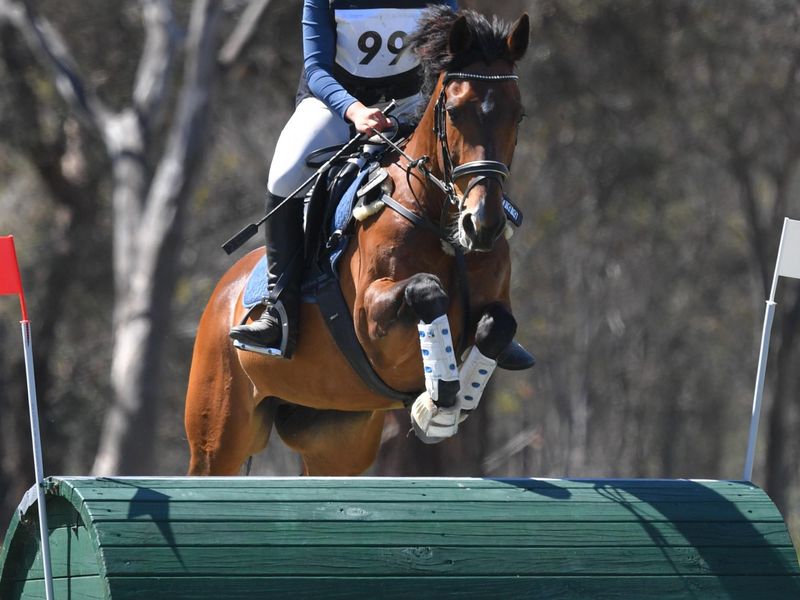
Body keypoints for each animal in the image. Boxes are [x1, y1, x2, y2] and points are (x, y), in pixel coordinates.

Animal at [185, 7, 530, 476]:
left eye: (518, 115)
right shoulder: (370, 318)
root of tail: (224, 291)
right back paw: (265, 325)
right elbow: (427, 291)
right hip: (217, 438)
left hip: (336, 436)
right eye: (456, 113)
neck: (444, 228)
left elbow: (499, 325)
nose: (484, 225)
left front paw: (453, 399)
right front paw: (437, 404)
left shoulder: (494, 304)